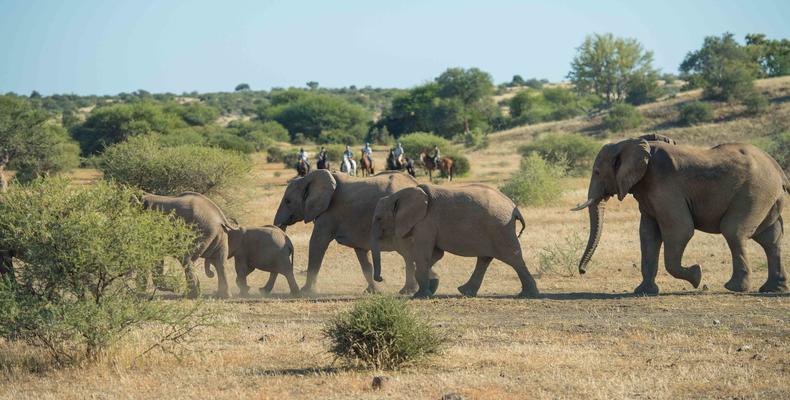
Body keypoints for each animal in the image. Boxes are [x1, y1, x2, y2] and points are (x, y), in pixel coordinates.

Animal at [274, 169, 440, 294]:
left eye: (288, 201)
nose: (381, 278)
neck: (307, 178)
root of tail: (418, 184)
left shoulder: (329, 213)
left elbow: (317, 243)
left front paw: (306, 291)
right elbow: (362, 256)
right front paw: (373, 291)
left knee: (408, 253)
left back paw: (411, 289)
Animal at [372, 183, 540, 298]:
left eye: (379, 218)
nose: (380, 278)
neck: (400, 195)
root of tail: (514, 206)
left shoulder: (425, 223)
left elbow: (422, 253)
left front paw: (420, 296)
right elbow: (435, 255)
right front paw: (432, 285)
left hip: (500, 228)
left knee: (514, 258)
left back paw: (528, 295)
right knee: (485, 259)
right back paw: (465, 292)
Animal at [576, 134, 790, 294]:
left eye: (597, 172)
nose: (582, 271)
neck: (629, 142)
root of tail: (778, 169)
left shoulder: (665, 186)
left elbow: (680, 231)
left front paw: (697, 275)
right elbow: (648, 236)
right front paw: (643, 291)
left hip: (755, 192)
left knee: (733, 231)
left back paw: (735, 288)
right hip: (768, 197)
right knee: (770, 238)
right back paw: (772, 289)